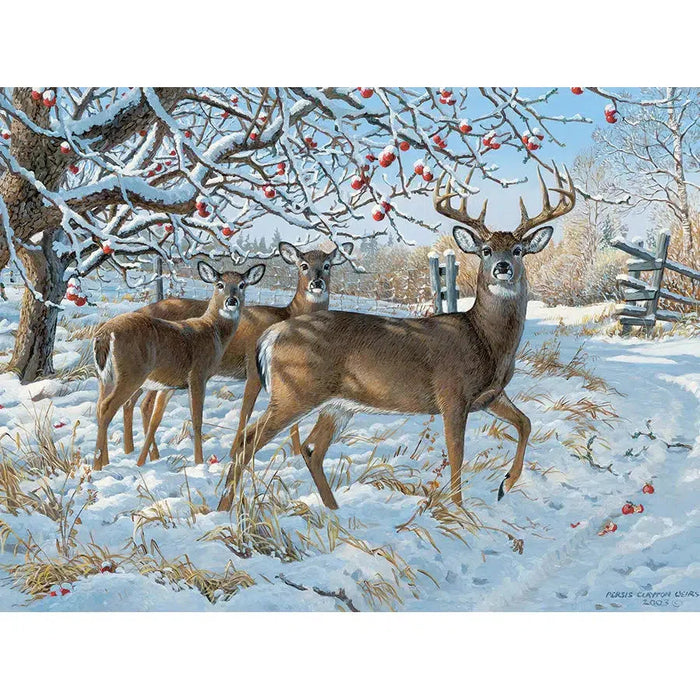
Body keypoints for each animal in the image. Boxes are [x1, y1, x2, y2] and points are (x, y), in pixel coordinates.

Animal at [92, 260, 266, 470]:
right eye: (219, 284)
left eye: (242, 285)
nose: (231, 301)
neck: (212, 332)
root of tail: (104, 334)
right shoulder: (198, 374)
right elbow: (197, 419)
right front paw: (199, 462)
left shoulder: (169, 385)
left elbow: (155, 420)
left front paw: (141, 462)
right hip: (131, 374)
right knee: (107, 407)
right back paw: (97, 465)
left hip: (105, 378)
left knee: (100, 407)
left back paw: (105, 461)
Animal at [120, 241, 354, 462]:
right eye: (303, 265)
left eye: (327, 265)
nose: (317, 283)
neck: (288, 314)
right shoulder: (254, 370)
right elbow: (245, 413)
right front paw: (235, 453)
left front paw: (295, 454)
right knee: (139, 403)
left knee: (138, 403)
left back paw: (141, 454)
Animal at [218, 165, 575, 512]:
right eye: (486, 250)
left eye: (518, 250)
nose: (502, 267)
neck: (485, 340)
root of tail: (272, 334)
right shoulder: (451, 394)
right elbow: (457, 457)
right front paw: (461, 514)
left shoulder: (490, 396)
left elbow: (525, 423)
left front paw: (505, 485)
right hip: (295, 391)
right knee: (247, 441)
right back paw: (226, 509)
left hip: (337, 404)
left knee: (311, 449)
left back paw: (334, 511)